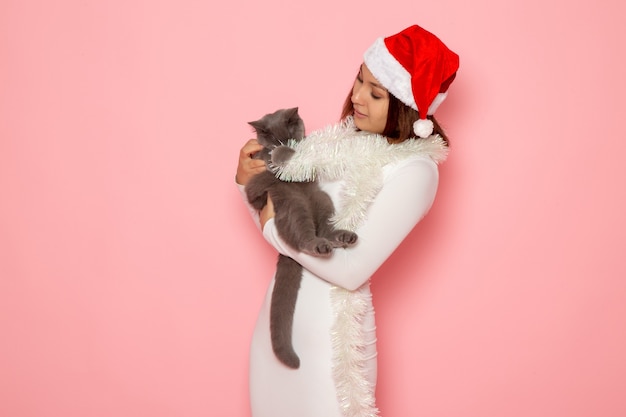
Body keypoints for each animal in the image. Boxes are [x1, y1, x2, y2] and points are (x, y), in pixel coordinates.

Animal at [246, 107, 358, 368]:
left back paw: (343, 237)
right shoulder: (262, 160)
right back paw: (319, 246)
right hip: (292, 204)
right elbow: (272, 157)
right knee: (302, 238)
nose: (286, 145)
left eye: (292, 137)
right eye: (276, 140)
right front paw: (281, 154)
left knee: (326, 229)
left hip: (321, 199)